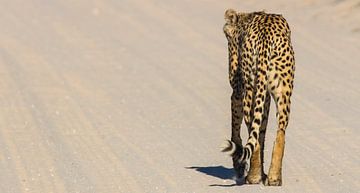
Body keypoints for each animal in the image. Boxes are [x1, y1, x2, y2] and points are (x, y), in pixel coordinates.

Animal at [222, 9, 296, 185]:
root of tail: (266, 37)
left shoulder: (237, 91)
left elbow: (236, 128)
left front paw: (240, 165)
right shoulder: (266, 96)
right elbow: (261, 131)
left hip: (250, 89)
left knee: (251, 127)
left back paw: (253, 176)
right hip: (283, 90)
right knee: (280, 132)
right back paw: (274, 177)